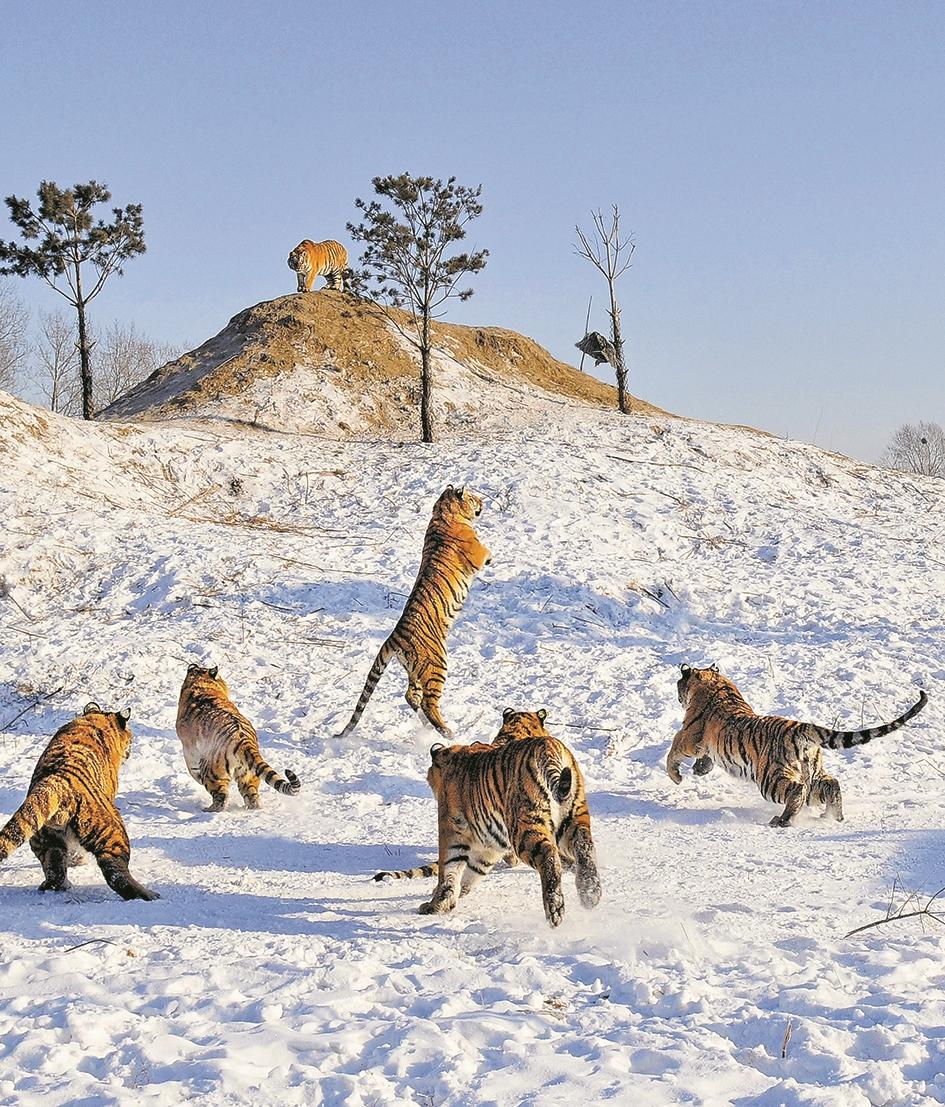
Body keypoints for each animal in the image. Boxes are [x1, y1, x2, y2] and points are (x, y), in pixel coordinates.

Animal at [0, 704, 159, 903]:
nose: (130, 751)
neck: (97, 719)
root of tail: (57, 783)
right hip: (112, 830)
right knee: (116, 874)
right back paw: (148, 894)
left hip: (43, 838)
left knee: (54, 871)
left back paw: (57, 884)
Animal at [173, 664, 298, 814]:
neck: (202, 684)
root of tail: (243, 741)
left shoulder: (189, 748)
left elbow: (192, 768)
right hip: (248, 774)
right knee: (251, 794)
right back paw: (253, 808)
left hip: (213, 773)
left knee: (220, 798)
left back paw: (208, 810)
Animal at [336, 482, 491, 735]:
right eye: (473, 498)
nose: (483, 502)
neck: (442, 511)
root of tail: (394, 637)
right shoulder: (476, 552)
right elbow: (486, 552)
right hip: (437, 664)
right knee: (428, 702)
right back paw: (445, 730)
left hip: (415, 670)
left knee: (410, 696)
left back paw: (427, 724)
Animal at [411, 726, 601, 925]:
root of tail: (548, 747)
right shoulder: (491, 844)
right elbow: (474, 869)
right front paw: (452, 898)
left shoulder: (452, 830)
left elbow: (449, 868)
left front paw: (436, 905)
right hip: (573, 816)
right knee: (584, 845)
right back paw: (590, 892)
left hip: (524, 827)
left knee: (549, 854)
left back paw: (554, 909)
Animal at [668, 659, 929, 828]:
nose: (678, 695)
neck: (714, 682)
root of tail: (800, 727)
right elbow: (705, 758)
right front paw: (700, 769)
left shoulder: (687, 737)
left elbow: (672, 751)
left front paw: (677, 777)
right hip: (812, 773)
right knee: (831, 784)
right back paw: (834, 816)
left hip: (770, 778)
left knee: (796, 791)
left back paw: (782, 821)